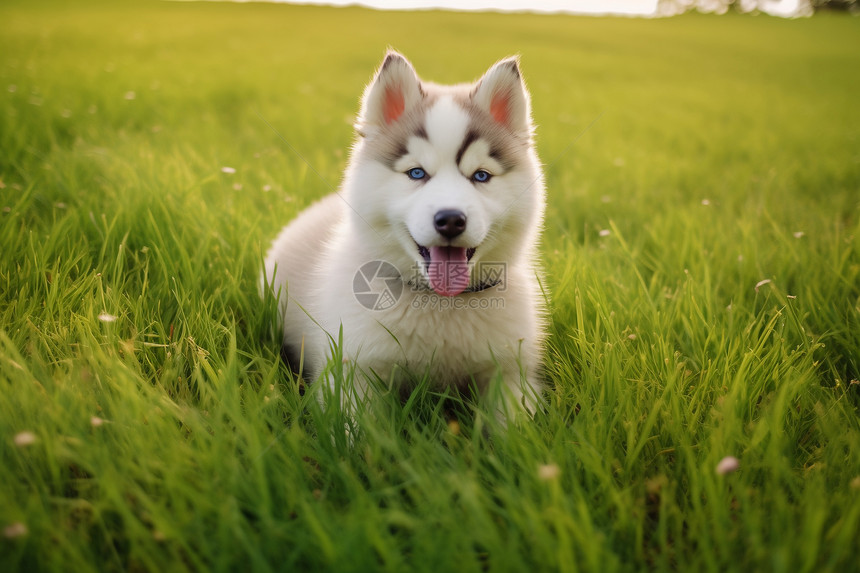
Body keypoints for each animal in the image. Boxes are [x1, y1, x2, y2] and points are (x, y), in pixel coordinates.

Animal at [262, 51, 548, 418]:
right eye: (416, 173)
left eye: (481, 176)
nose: (450, 220)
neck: (441, 304)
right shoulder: (354, 372)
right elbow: (359, 429)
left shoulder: (511, 372)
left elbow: (514, 425)